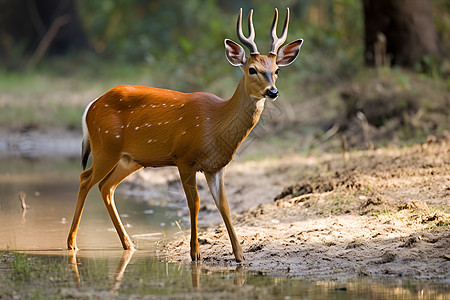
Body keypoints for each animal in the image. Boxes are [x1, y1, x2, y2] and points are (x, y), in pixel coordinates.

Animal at [67, 8, 304, 262]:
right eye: (252, 70)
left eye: (277, 70)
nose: (273, 92)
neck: (215, 125)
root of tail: (90, 106)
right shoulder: (184, 158)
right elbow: (195, 202)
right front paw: (195, 253)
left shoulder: (216, 166)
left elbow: (224, 205)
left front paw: (240, 256)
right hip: (106, 146)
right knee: (85, 178)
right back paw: (71, 243)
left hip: (130, 159)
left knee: (106, 186)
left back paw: (128, 244)